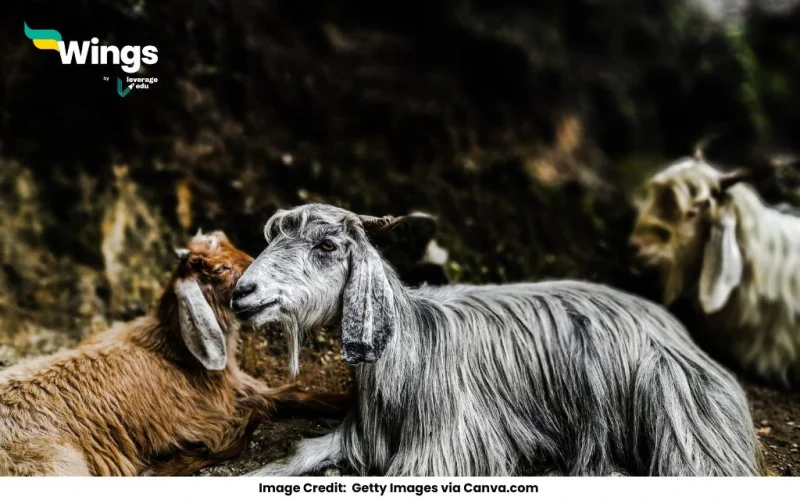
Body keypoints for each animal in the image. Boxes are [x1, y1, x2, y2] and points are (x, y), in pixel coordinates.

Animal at [0, 230, 347, 476]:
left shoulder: (245, 390)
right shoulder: (193, 421)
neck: (174, 352)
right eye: (220, 269)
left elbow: (295, 393)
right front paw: (161, 468)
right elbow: (239, 433)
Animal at [231, 203, 761, 476]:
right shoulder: (358, 436)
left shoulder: (447, 449)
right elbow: (296, 456)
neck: (411, 346)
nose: (242, 292)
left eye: (326, 246)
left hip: (681, 413)